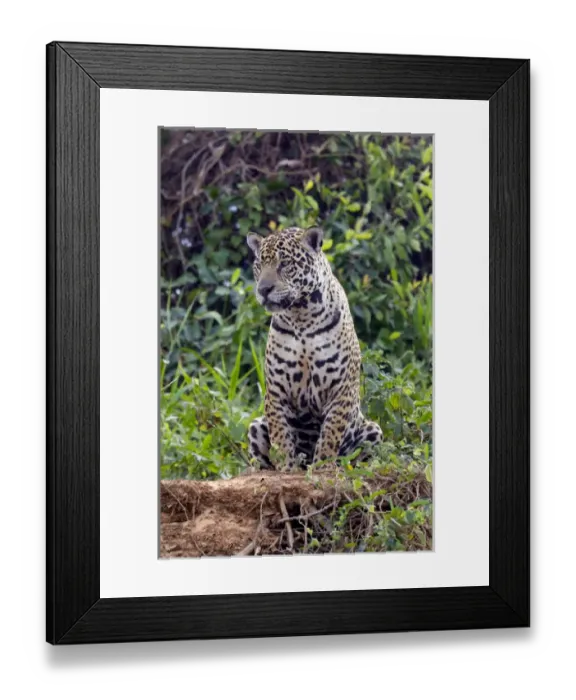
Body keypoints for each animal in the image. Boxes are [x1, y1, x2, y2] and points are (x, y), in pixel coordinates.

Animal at [246, 225, 382, 471]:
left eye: (285, 264)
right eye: (259, 265)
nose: (263, 289)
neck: (302, 317)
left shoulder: (341, 389)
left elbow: (330, 433)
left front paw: (322, 467)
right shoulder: (276, 389)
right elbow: (280, 436)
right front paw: (287, 468)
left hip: (372, 429)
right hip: (255, 425)